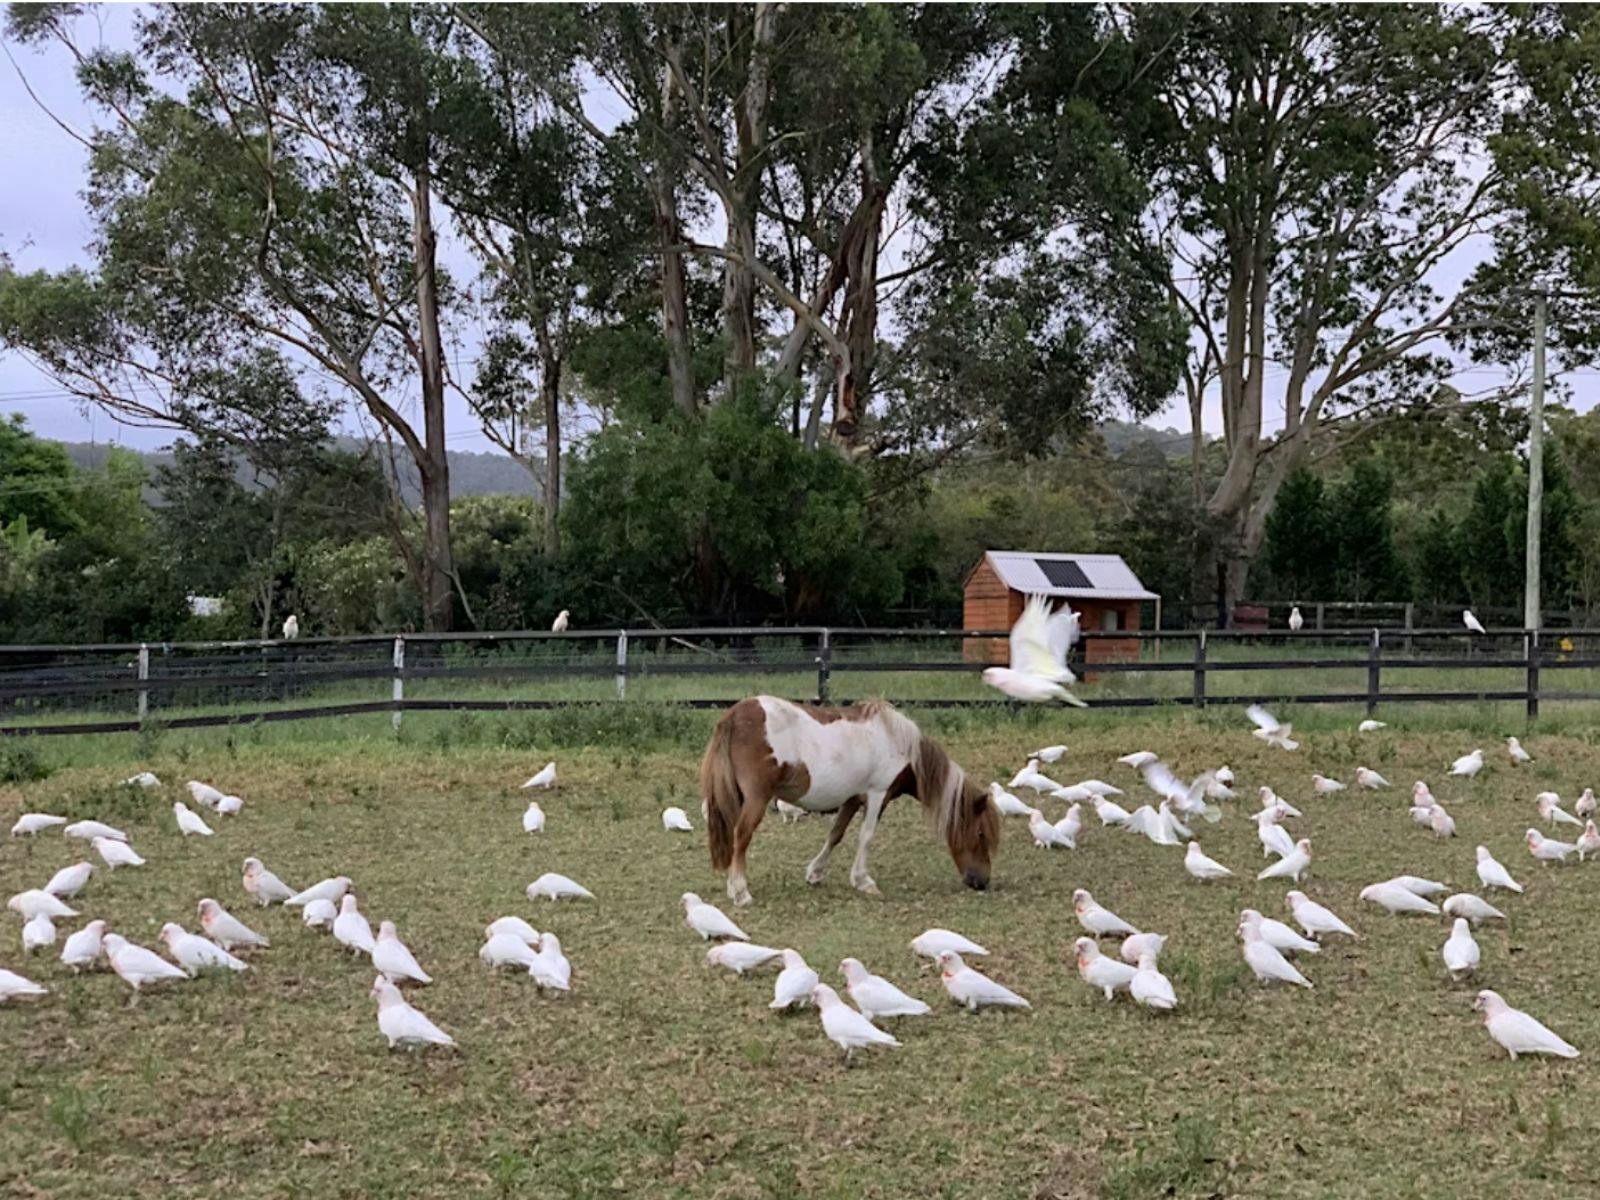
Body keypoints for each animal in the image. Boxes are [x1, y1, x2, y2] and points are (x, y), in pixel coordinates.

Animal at [699, 696, 999, 907]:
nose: (982, 882)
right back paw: (741, 892)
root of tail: (734, 715)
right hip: (756, 798)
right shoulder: (878, 795)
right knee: (741, 836)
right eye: (980, 834)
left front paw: (815, 873)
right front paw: (863, 880)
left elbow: (836, 834)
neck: (899, 744)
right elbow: (866, 836)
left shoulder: (852, 799)